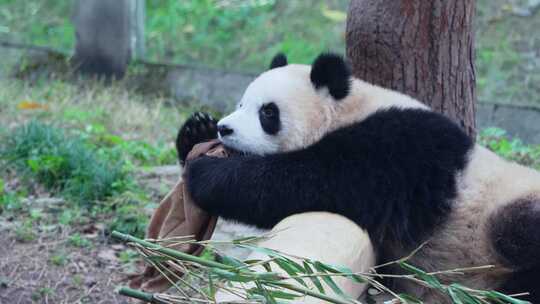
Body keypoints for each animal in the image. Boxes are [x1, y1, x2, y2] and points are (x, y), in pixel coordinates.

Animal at [177, 53, 540, 302]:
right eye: (240, 103)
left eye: (268, 112)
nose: (225, 128)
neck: (350, 108)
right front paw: (196, 131)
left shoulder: (401, 150)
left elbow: (318, 181)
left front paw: (206, 173)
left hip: (499, 216)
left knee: (517, 236)